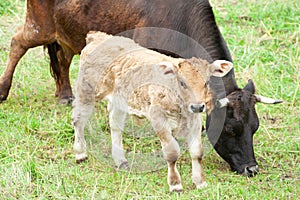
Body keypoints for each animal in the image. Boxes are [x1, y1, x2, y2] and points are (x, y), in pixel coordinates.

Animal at [0, 0, 282, 175]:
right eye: (232, 129)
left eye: (255, 127)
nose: (252, 169)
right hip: (40, 24)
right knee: (17, 43)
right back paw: (3, 90)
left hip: (68, 31)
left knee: (62, 57)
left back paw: (65, 95)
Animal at [71, 31, 233, 192]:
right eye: (182, 82)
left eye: (206, 82)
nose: (198, 107)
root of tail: (97, 36)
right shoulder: (158, 119)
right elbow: (172, 152)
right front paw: (175, 184)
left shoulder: (195, 121)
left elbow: (197, 152)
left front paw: (200, 182)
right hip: (87, 91)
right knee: (78, 118)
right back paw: (80, 153)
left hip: (119, 100)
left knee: (115, 125)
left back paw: (120, 160)